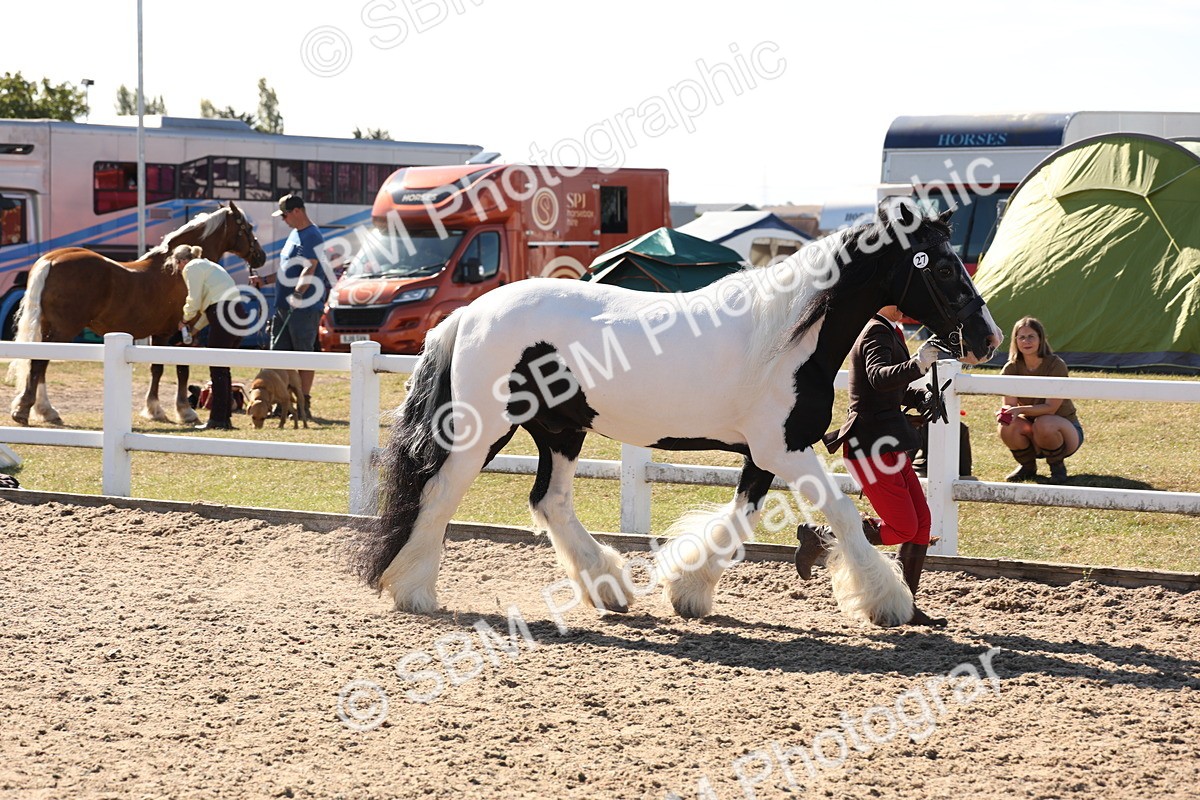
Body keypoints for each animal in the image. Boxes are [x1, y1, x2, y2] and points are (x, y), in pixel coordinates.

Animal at [8, 203, 266, 426]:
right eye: (249, 228)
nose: (261, 256)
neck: (174, 270)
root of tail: (51, 260)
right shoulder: (181, 335)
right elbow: (181, 370)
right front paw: (184, 411)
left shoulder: (160, 334)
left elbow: (157, 369)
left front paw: (154, 409)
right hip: (63, 330)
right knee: (39, 364)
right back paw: (27, 410)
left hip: (48, 328)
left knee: (39, 365)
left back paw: (45, 411)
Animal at [349, 201, 1003, 627]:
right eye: (943, 265)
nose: (988, 337)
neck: (787, 337)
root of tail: (470, 313)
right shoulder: (786, 448)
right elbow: (843, 514)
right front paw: (888, 601)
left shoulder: (764, 452)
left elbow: (739, 519)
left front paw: (686, 589)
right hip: (483, 430)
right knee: (439, 495)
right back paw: (412, 591)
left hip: (560, 430)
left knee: (549, 503)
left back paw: (609, 589)